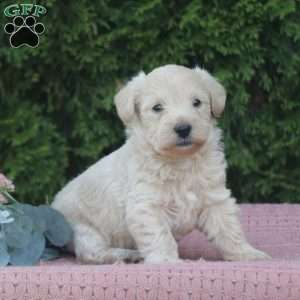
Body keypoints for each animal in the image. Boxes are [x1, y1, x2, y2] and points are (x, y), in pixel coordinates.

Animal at [51, 64, 270, 264]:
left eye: (196, 102)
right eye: (157, 107)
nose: (183, 128)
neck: (180, 161)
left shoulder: (214, 198)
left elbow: (229, 229)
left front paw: (247, 254)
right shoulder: (146, 206)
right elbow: (160, 236)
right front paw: (166, 261)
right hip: (84, 231)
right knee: (91, 253)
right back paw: (127, 255)